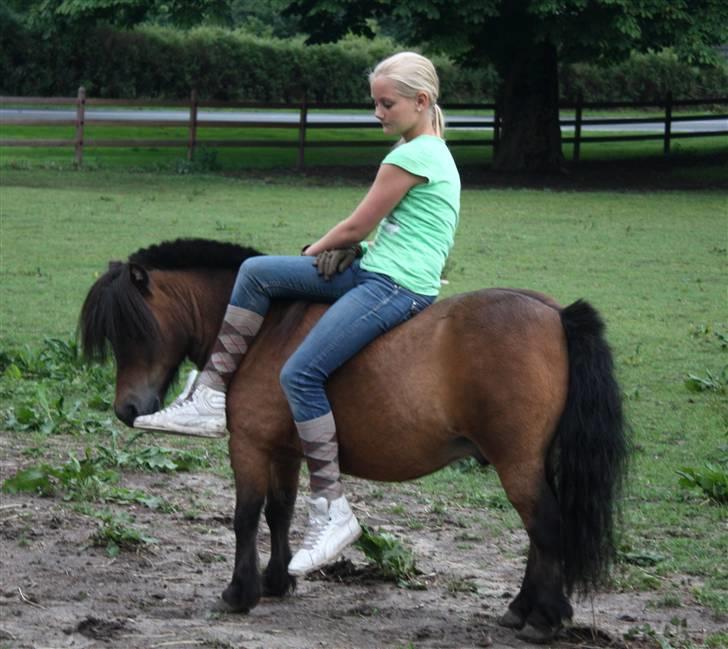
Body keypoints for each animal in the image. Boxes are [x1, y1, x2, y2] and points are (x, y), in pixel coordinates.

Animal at [78, 239, 624, 644]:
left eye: (134, 330)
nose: (126, 409)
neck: (267, 329)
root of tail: (554, 313)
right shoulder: (285, 450)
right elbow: (280, 511)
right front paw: (278, 580)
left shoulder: (250, 446)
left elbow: (246, 515)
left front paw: (240, 592)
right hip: (532, 461)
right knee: (539, 532)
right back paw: (522, 608)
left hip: (518, 463)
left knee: (546, 525)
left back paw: (543, 618)